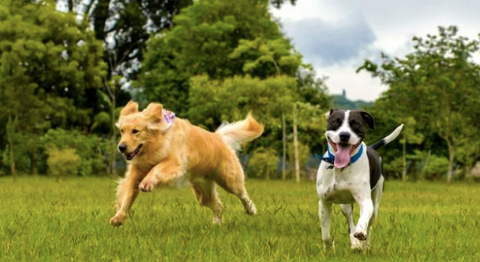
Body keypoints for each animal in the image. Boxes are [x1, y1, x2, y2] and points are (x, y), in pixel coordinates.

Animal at [316, 108, 402, 250]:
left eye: (356, 123)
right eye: (335, 121)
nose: (344, 135)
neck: (341, 168)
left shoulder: (365, 201)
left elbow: (363, 222)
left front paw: (361, 233)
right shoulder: (324, 202)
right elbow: (325, 234)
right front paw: (328, 248)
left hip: (375, 204)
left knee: (369, 225)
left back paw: (364, 245)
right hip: (345, 206)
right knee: (351, 224)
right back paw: (355, 244)